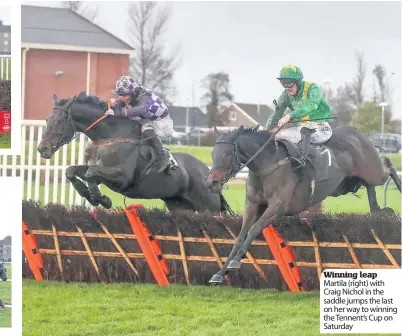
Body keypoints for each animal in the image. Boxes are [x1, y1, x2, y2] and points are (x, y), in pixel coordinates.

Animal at [38, 92, 232, 213]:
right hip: (179, 205)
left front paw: (100, 198)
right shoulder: (96, 170)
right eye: (47, 119)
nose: (42, 149)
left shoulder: (122, 177)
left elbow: (91, 173)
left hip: (208, 207)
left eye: (60, 121)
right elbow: (72, 171)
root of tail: (208, 173)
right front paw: (92, 196)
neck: (107, 135)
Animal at [206, 124, 400, 284]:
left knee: (388, 166)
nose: (211, 183)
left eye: (227, 153)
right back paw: (379, 209)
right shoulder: (253, 205)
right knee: (371, 191)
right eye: (212, 153)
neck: (268, 165)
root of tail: (359, 134)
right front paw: (220, 273)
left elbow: (254, 230)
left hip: (372, 172)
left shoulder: (277, 207)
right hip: (346, 185)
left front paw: (235, 262)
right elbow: (240, 237)